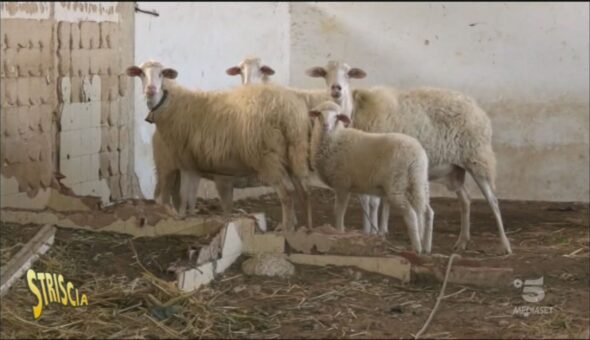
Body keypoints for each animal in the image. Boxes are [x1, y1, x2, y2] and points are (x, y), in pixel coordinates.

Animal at [126, 60, 314, 231]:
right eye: (141, 74)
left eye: (161, 74)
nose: (150, 90)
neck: (173, 104)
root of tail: (288, 111)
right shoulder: (191, 166)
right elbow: (188, 198)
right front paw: (187, 218)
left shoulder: (188, 164)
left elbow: (185, 196)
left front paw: (183, 219)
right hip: (295, 156)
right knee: (304, 194)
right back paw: (307, 227)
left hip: (268, 158)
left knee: (287, 196)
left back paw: (287, 229)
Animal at [310, 101, 434, 252]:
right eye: (319, 114)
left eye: (337, 117)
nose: (326, 125)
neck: (336, 138)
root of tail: (417, 155)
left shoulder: (342, 184)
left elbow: (339, 211)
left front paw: (339, 231)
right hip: (419, 182)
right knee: (428, 212)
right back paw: (427, 246)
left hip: (397, 185)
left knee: (411, 214)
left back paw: (417, 247)